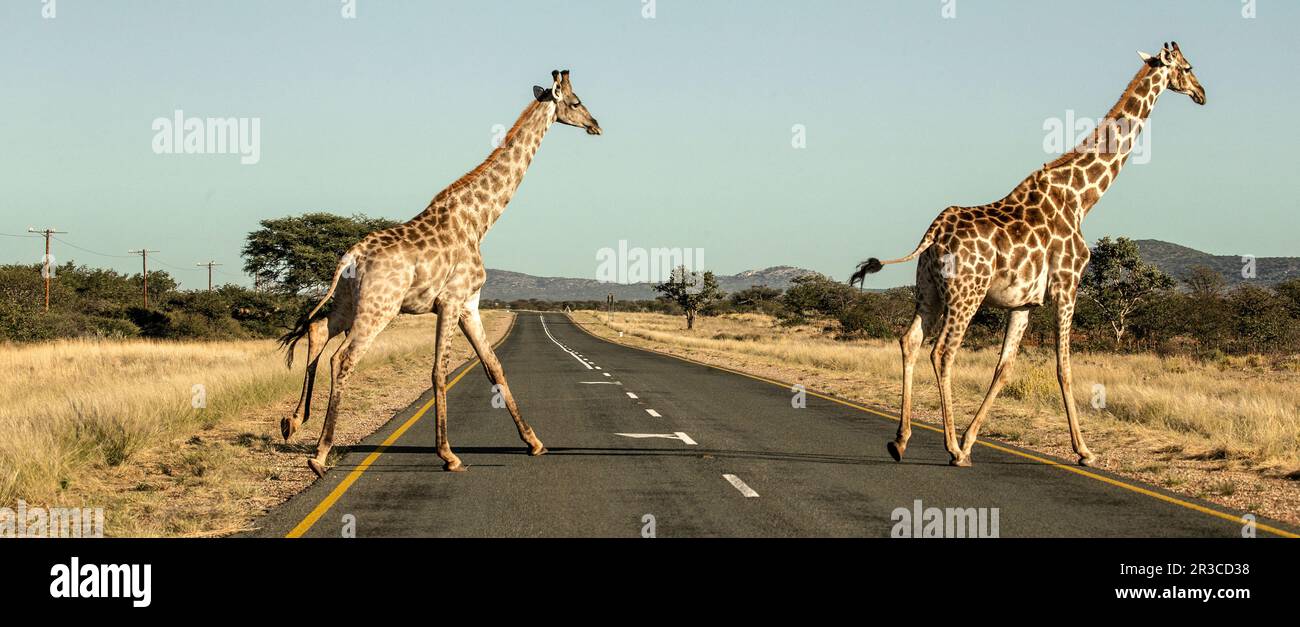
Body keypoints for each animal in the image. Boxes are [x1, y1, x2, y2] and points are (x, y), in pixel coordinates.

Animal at [278, 70, 602, 477]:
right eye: (576, 102)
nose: (596, 125)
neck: (480, 221)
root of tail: (350, 256)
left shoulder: (469, 304)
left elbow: (494, 367)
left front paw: (535, 442)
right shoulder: (450, 301)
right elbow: (439, 370)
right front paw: (448, 454)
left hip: (347, 303)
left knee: (318, 330)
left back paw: (293, 421)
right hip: (378, 308)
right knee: (343, 359)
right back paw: (320, 454)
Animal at [850, 43, 1205, 468]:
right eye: (1187, 67)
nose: (1202, 93)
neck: (1081, 198)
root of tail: (933, 233)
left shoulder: (1023, 303)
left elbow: (1004, 368)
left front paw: (971, 438)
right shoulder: (1068, 285)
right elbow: (1063, 367)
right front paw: (1084, 451)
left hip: (928, 291)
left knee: (910, 341)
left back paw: (901, 441)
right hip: (966, 295)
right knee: (943, 352)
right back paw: (951, 449)